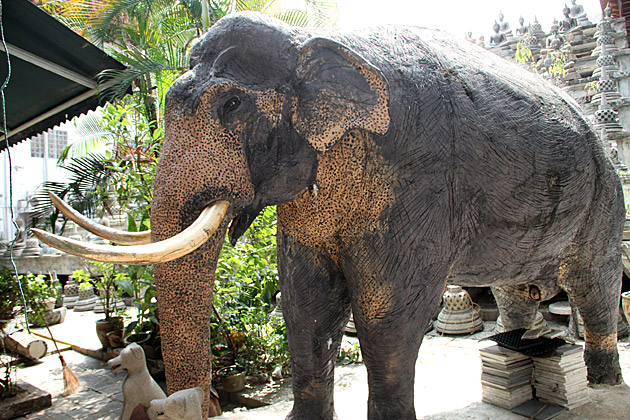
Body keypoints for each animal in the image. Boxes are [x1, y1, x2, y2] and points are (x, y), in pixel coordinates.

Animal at [34, 10, 628, 420]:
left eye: (232, 106)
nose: (199, 406)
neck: (312, 44)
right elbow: (303, 301)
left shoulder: (418, 176)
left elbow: (387, 312)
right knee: (515, 285)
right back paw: (514, 343)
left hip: (606, 192)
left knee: (592, 280)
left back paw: (601, 379)